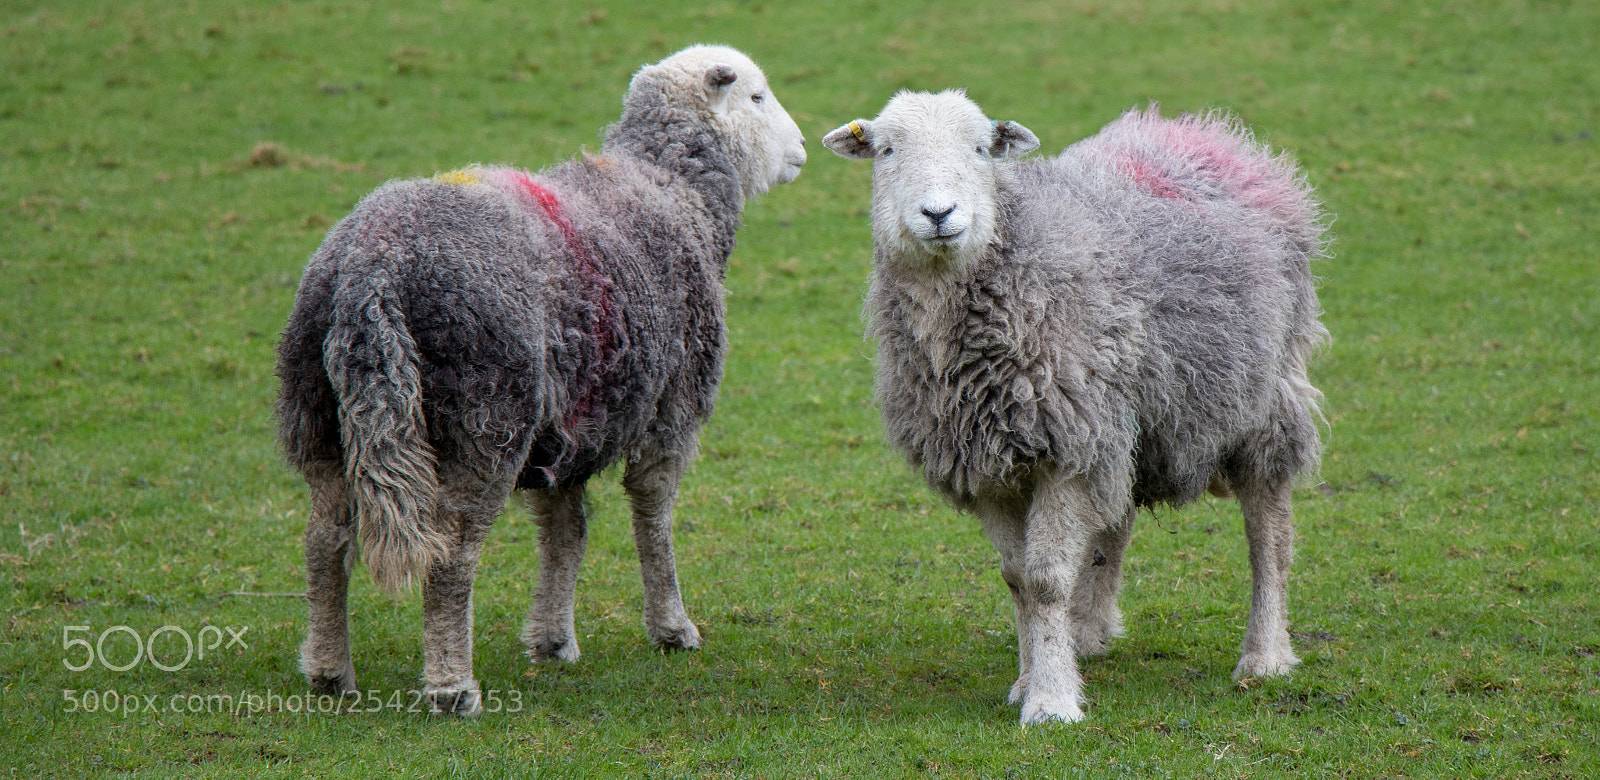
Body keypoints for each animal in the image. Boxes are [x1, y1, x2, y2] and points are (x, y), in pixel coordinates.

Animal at [275, 44, 806, 717]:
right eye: (757, 98)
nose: (802, 148)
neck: (670, 190)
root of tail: (373, 271)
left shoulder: (574, 421)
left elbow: (565, 532)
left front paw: (553, 640)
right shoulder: (673, 407)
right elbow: (653, 515)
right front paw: (672, 628)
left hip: (320, 410)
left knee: (325, 540)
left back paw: (328, 672)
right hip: (484, 417)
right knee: (450, 555)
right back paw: (453, 686)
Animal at [823, 90, 1328, 724]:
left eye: (982, 149)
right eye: (887, 150)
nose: (939, 214)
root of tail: (1205, 132)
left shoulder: (1068, 447)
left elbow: (1045, 581)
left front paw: (1051, 699)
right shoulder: (991, 461)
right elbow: (1018, 578)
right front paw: (1031, 676)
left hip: (1265, 399)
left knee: (1270, 535)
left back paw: (1264, 656)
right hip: (1128, 419)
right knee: (1117, 522)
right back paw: (1087, 634)